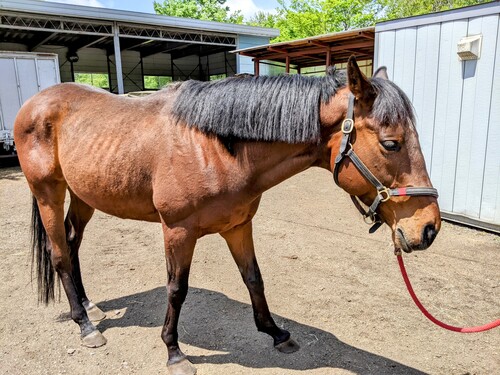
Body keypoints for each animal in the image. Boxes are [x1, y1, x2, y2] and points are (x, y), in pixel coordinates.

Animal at [13, 56, 440, 375]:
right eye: (391, 143)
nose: (429, 228)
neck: (213, 146)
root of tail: (35, 103)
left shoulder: (238, 226)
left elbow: (254, 279)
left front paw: (276, 333)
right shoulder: (177, 231)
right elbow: (176, 289)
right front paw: (174, 352)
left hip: (84, 196)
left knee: (72, 244)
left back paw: (88, 306)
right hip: (48, 192)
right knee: (59, 254)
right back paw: (85, 325)